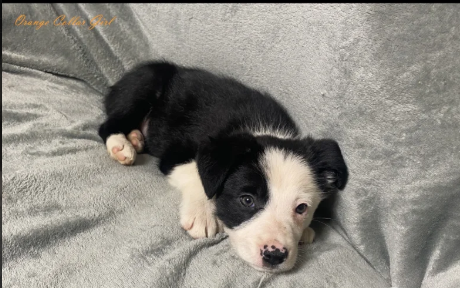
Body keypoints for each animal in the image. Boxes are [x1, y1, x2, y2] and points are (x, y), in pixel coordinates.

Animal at [98, 60, 348, 272]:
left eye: (301, 208)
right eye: (247, 200)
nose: (275, 255)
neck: (263, 130)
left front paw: (305, 231)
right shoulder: (176, 155)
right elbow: (197, 173)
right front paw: (202, 214)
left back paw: (135, 138)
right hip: (146, 82)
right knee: (107, 125)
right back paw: (121, 144)